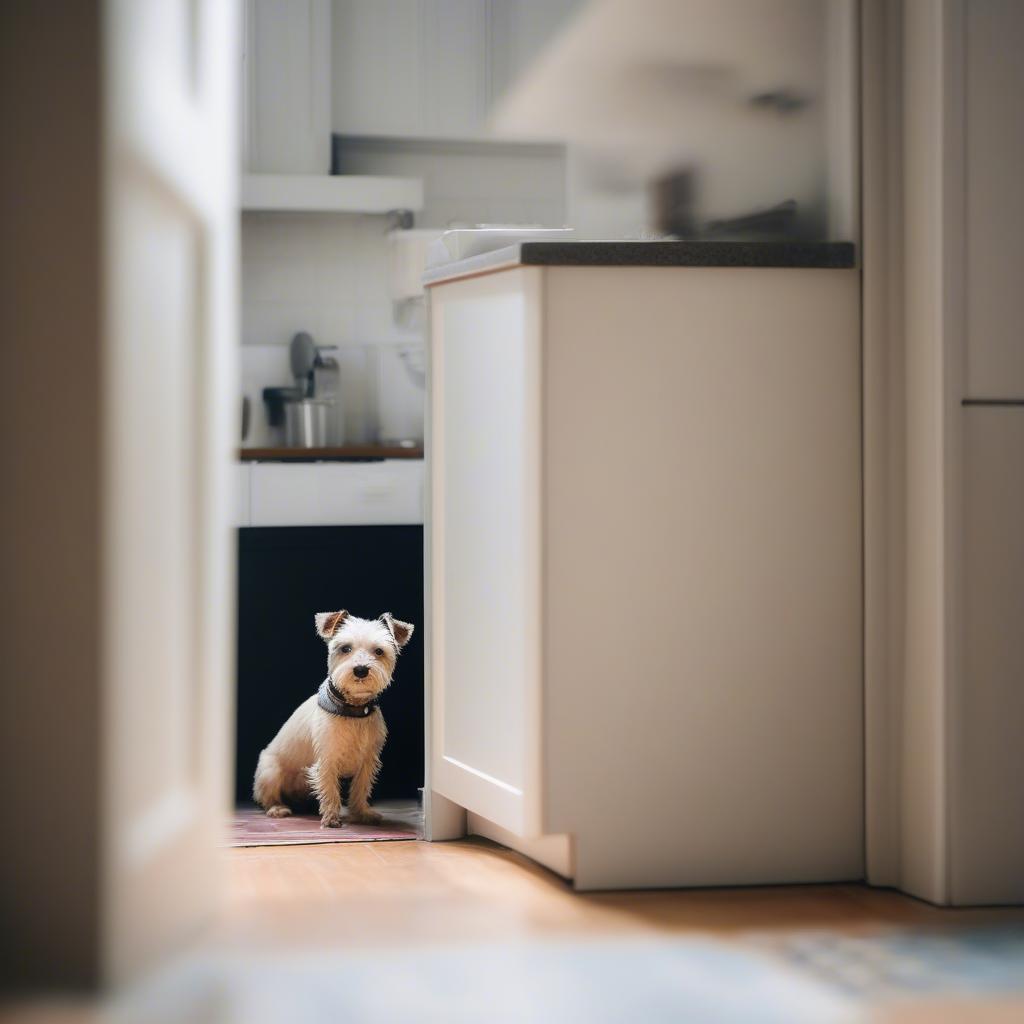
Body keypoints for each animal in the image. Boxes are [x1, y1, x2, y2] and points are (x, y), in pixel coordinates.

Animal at [253, 610, 413, 827]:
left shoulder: (367, 761)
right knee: (268, 796)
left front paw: (362, 813)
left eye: (379, 651)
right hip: (270, 771)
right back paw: (278, 808)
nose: (361, 670)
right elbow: (329, 788)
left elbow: (360, 789)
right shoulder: (327, 758)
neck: (353, 709)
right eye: (345, 648)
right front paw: (330, 818)